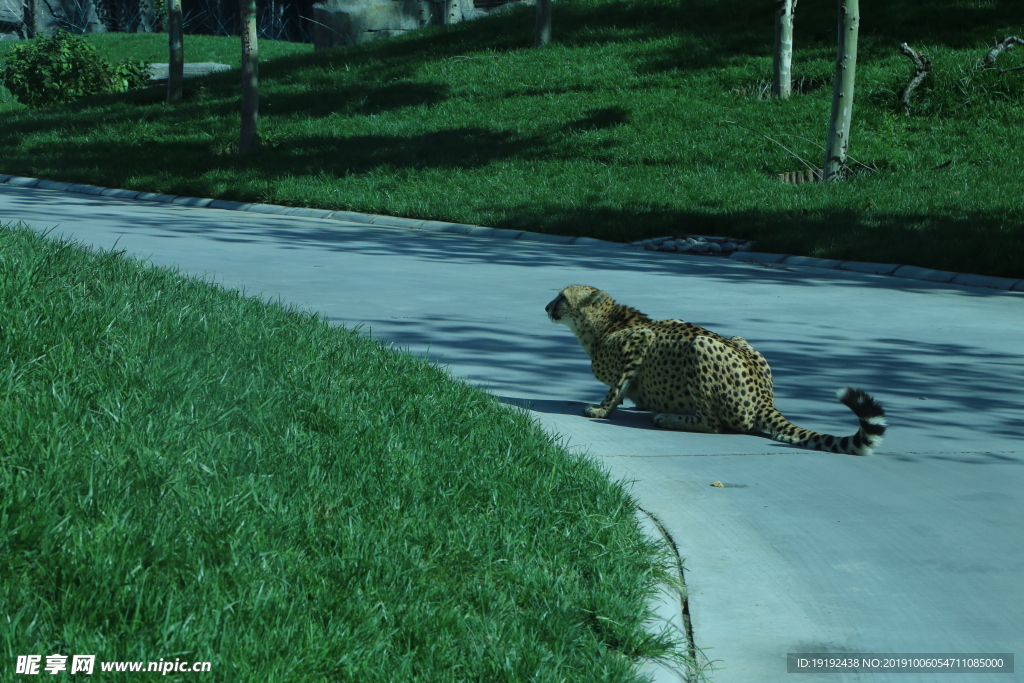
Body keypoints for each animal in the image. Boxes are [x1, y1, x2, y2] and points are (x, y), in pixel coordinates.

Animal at [544, 286, 888, 456]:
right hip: (738, 338)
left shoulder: (640, 340)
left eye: (562, 297)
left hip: (699, 347)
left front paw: (601, 410)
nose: (547, 307)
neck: (606, 321)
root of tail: (765, 398)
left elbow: (616, 386)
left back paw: (668, 418)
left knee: (714, 424)